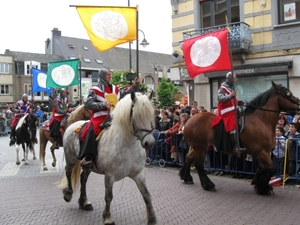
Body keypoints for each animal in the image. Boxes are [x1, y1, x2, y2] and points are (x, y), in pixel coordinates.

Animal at [58, 91, 157, 225]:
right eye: (137, 115)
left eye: (151, 115)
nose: (149, 143)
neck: (128, 145)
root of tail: (73, 125)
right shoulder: (110, 176)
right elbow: (109, 196)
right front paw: (107, 217)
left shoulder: (139, 174)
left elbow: (146, 195)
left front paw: (152, 218)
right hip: (71, 158)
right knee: (68, 172)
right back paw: (68, 194)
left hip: (88, 165)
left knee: (83, 178)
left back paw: (84, 202)